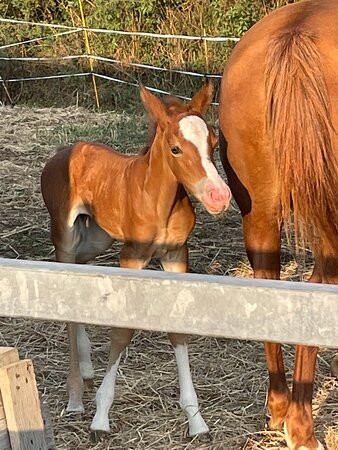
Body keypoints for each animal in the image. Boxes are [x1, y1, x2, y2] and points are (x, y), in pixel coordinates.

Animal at [41, 81, 232, 436]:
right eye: (175, 149)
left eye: (213, 142)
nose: (219, 196)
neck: (159, 201)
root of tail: (63, 153)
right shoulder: (131, 257)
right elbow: (122, 330)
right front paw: (101, 416)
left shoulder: (176, 256)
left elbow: (177, 329)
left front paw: (195, 419)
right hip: (66, 238)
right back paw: (75, 396)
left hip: (97, 238)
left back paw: (87, 368)